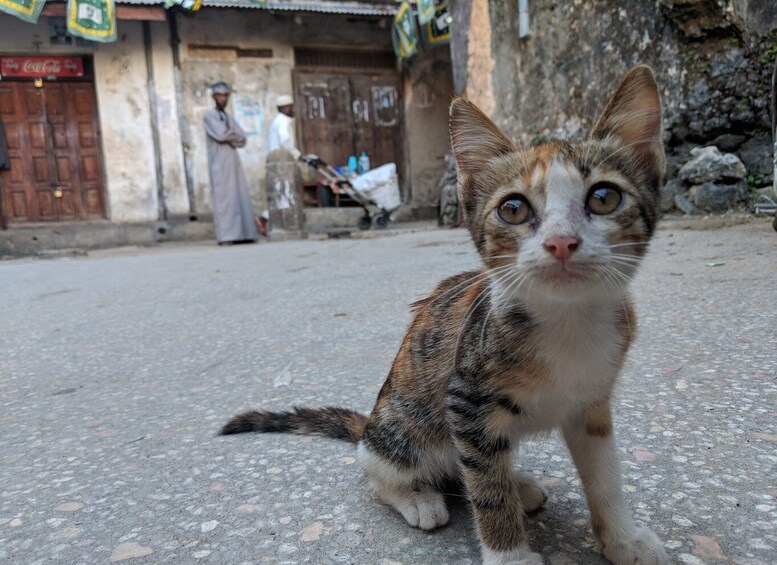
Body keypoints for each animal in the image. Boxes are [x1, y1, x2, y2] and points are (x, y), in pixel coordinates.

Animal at [221, 66, 668, 564]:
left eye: (604, 197)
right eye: (513, 208)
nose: (561, 242)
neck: (566, 321)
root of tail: (370, 424)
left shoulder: (591, 402)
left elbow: (605, 473)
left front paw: (624, 538)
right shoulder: (465, 400)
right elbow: (487, 491)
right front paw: (510, 555)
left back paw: (518, 484)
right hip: (405, 432)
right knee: (386, 472)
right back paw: (418, 497)